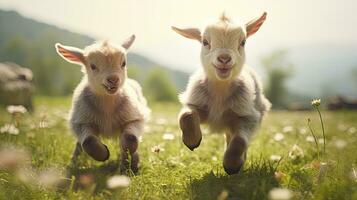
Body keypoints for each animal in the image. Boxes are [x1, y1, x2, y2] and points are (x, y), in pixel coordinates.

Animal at [54, 35, 149, 172]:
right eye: (93, 66)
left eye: (123, 63)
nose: (113, 79)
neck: (107, 104)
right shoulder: (81, 122)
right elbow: (88, 142)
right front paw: (104, 154)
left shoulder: (135, 118)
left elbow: (130, 140)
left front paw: (127, 164)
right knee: (80, 144)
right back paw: (74, 162)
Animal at [172, 13, 270, 174]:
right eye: (205, 42)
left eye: (243, 42)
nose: (224, 58)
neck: (220, 90)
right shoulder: (196, 103)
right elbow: (187, 116)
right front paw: (192, 141)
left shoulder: (248, 117)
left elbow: (239, 141)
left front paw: (232, 165)